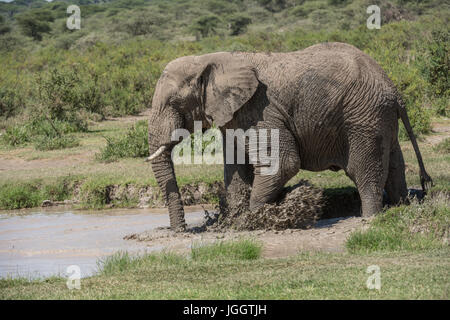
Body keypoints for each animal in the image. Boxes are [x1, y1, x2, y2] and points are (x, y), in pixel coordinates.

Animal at [146, 43, 430, 232]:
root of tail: (396, 92)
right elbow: (235, 171)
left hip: (364, 117)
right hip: (381, 118)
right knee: (394, 166)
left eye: (174, 103)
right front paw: (234, 220)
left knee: (365, 171)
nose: (181, 231)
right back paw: (400, 207)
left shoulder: (260, 109)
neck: (210, 58)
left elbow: (283, 163)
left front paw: (255, 219)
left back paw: (370, 218)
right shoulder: (234, 115)